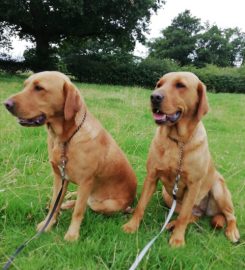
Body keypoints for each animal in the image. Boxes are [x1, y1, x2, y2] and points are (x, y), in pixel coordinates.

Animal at [4, 70, 136, 242]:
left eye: (39, 88)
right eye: (25, 85)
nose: (6, 104)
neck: (64, 139)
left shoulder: (86, 181)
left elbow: (79, 210)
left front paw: (72, 235)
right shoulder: (59, 177)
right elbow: (54, 204)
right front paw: (48, 224)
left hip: (103, 203)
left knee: (88, 204)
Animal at [122, 71, 239, 247]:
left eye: (180, 85)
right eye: (159, 84)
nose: (154, 97)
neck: (178, 142)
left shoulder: (193, 185)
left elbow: (183, 216)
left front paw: (177, 239)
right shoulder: (152, 176)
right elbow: (141, 205)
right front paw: (132, 226)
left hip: (219, 189)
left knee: (229, 215)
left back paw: (232, 231)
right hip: (168, 197)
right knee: (192, 216)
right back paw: (171, 224)